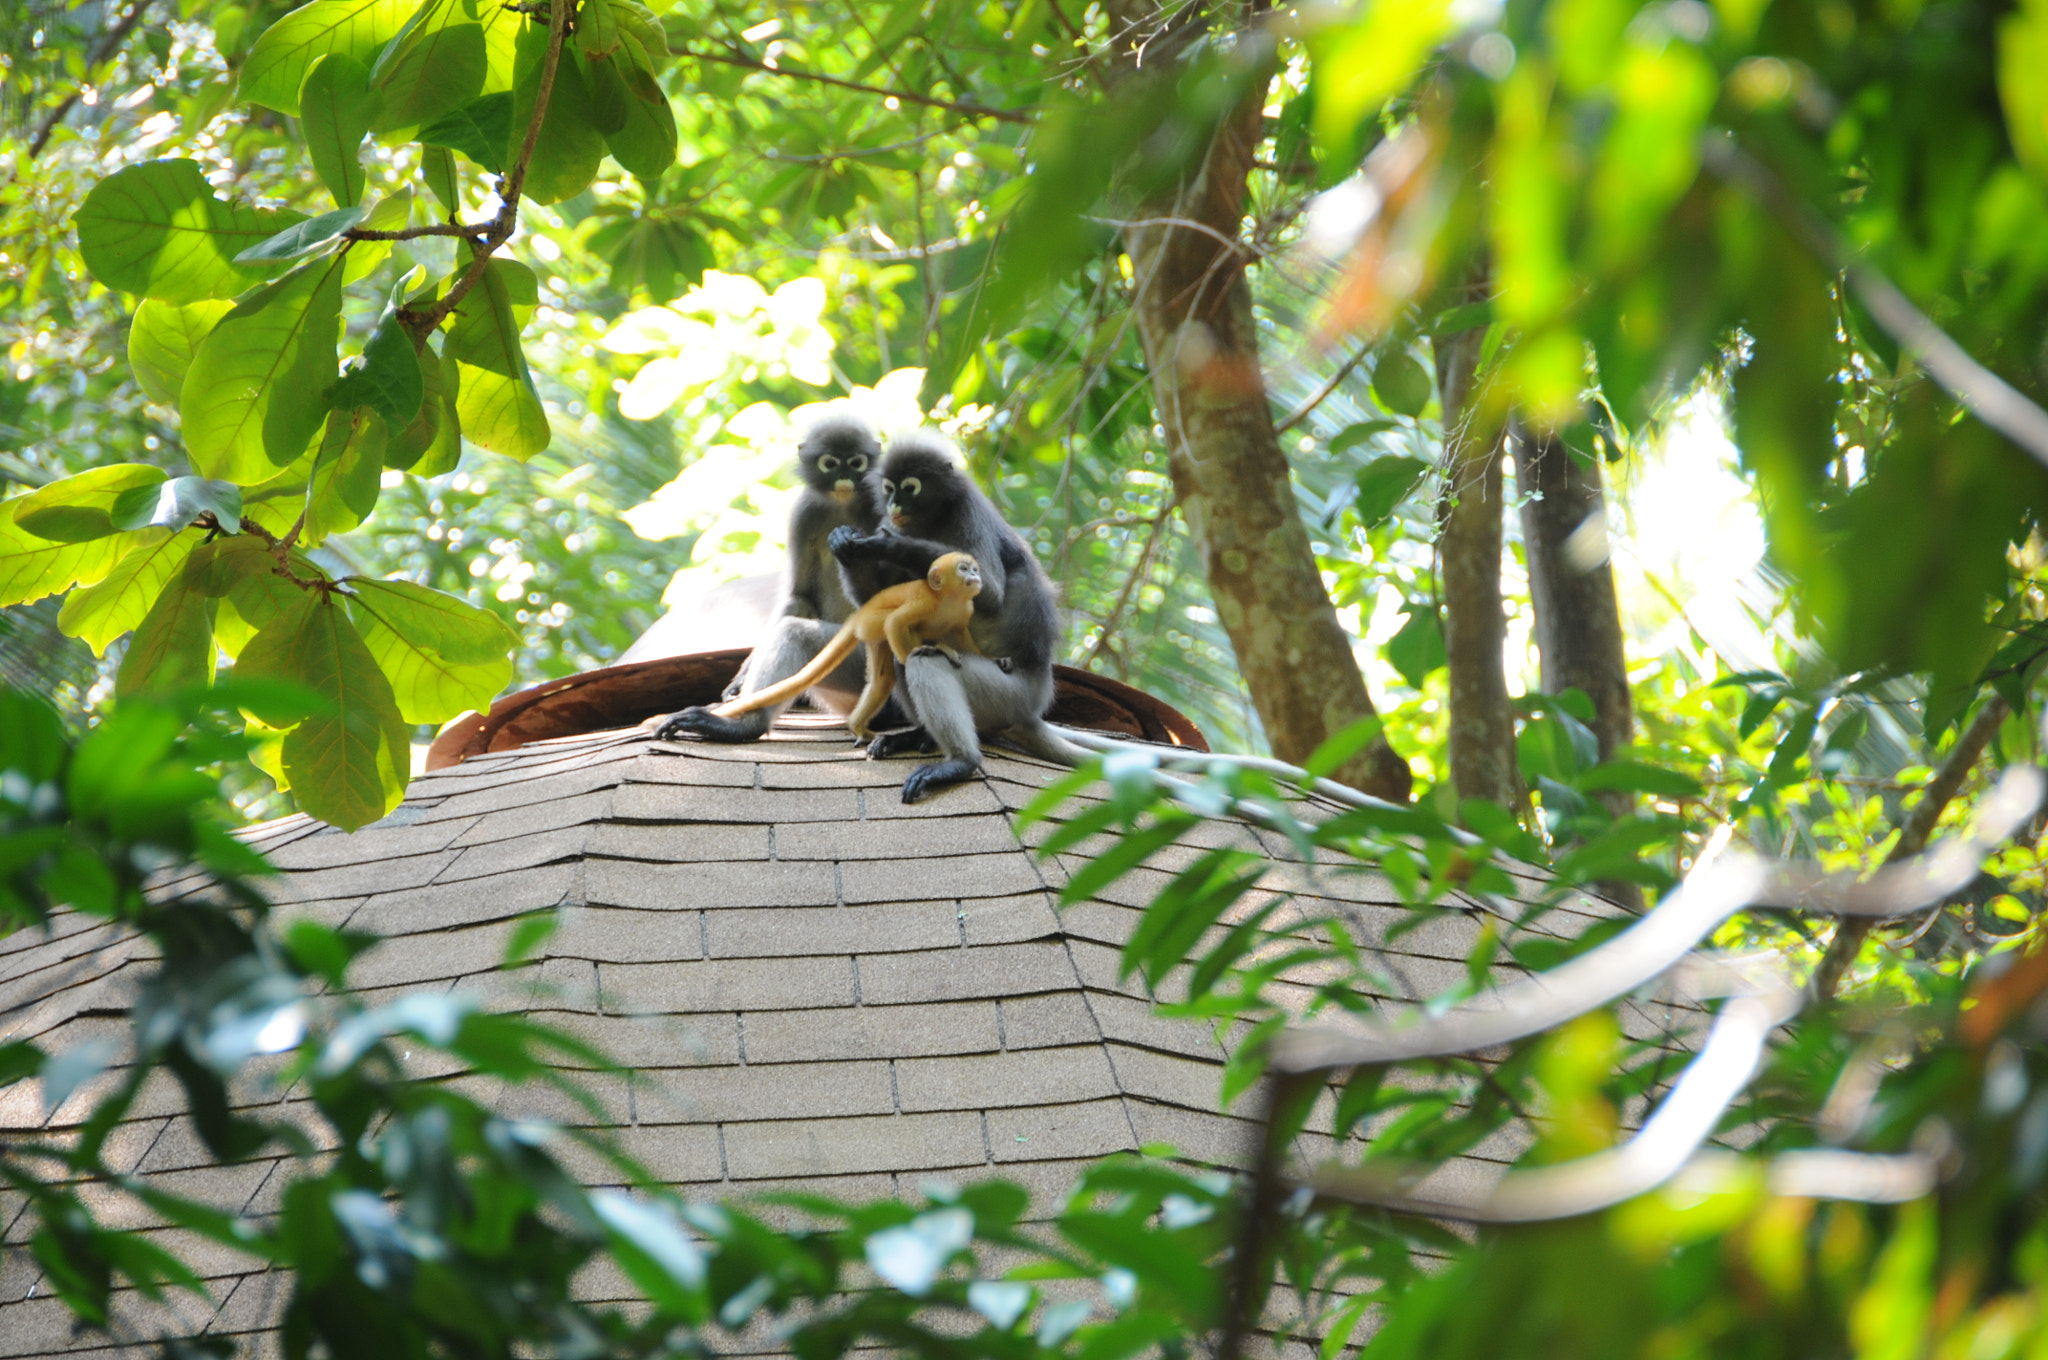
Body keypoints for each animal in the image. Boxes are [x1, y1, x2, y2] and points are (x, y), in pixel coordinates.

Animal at [652, 413, 898, 743]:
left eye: (857, 463)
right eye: (831, 463)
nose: (845, 478)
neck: (843, 503)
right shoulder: (804, 513)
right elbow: (799, 596)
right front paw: (741, 677)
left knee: (794, 633)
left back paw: (743, 726)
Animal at [704, 553, 984, 742]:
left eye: (973, 568)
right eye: (963, 569)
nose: (975, 575)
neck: (947, 600)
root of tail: (858, 616)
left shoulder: (965, 611)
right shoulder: (924, 602)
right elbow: (896, 622)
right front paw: (917, 654)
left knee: (881, 679)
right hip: (872, 624)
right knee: (890, 633)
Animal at [827, 431, 1091, 802]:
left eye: (910, 488)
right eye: (889, 489)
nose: (894, 506)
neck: (935, 518)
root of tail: (1033, 705)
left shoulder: (969, 513)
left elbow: (991, 592)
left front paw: (890, 546)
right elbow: (876, 597)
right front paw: (842, 542)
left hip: (1006, 697)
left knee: (925, 660)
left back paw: (958, 762)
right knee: (902, 655)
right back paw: (915, 736)